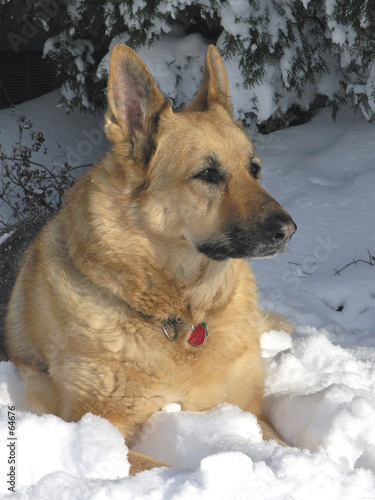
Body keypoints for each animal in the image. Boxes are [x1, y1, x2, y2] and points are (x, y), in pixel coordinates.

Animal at [3, 42, 296, 472]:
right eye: (208, 174)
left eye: (254, 170)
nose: (289, 230)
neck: (180, 317)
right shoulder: (101, 433)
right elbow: (168, 470)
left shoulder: (251, 412)